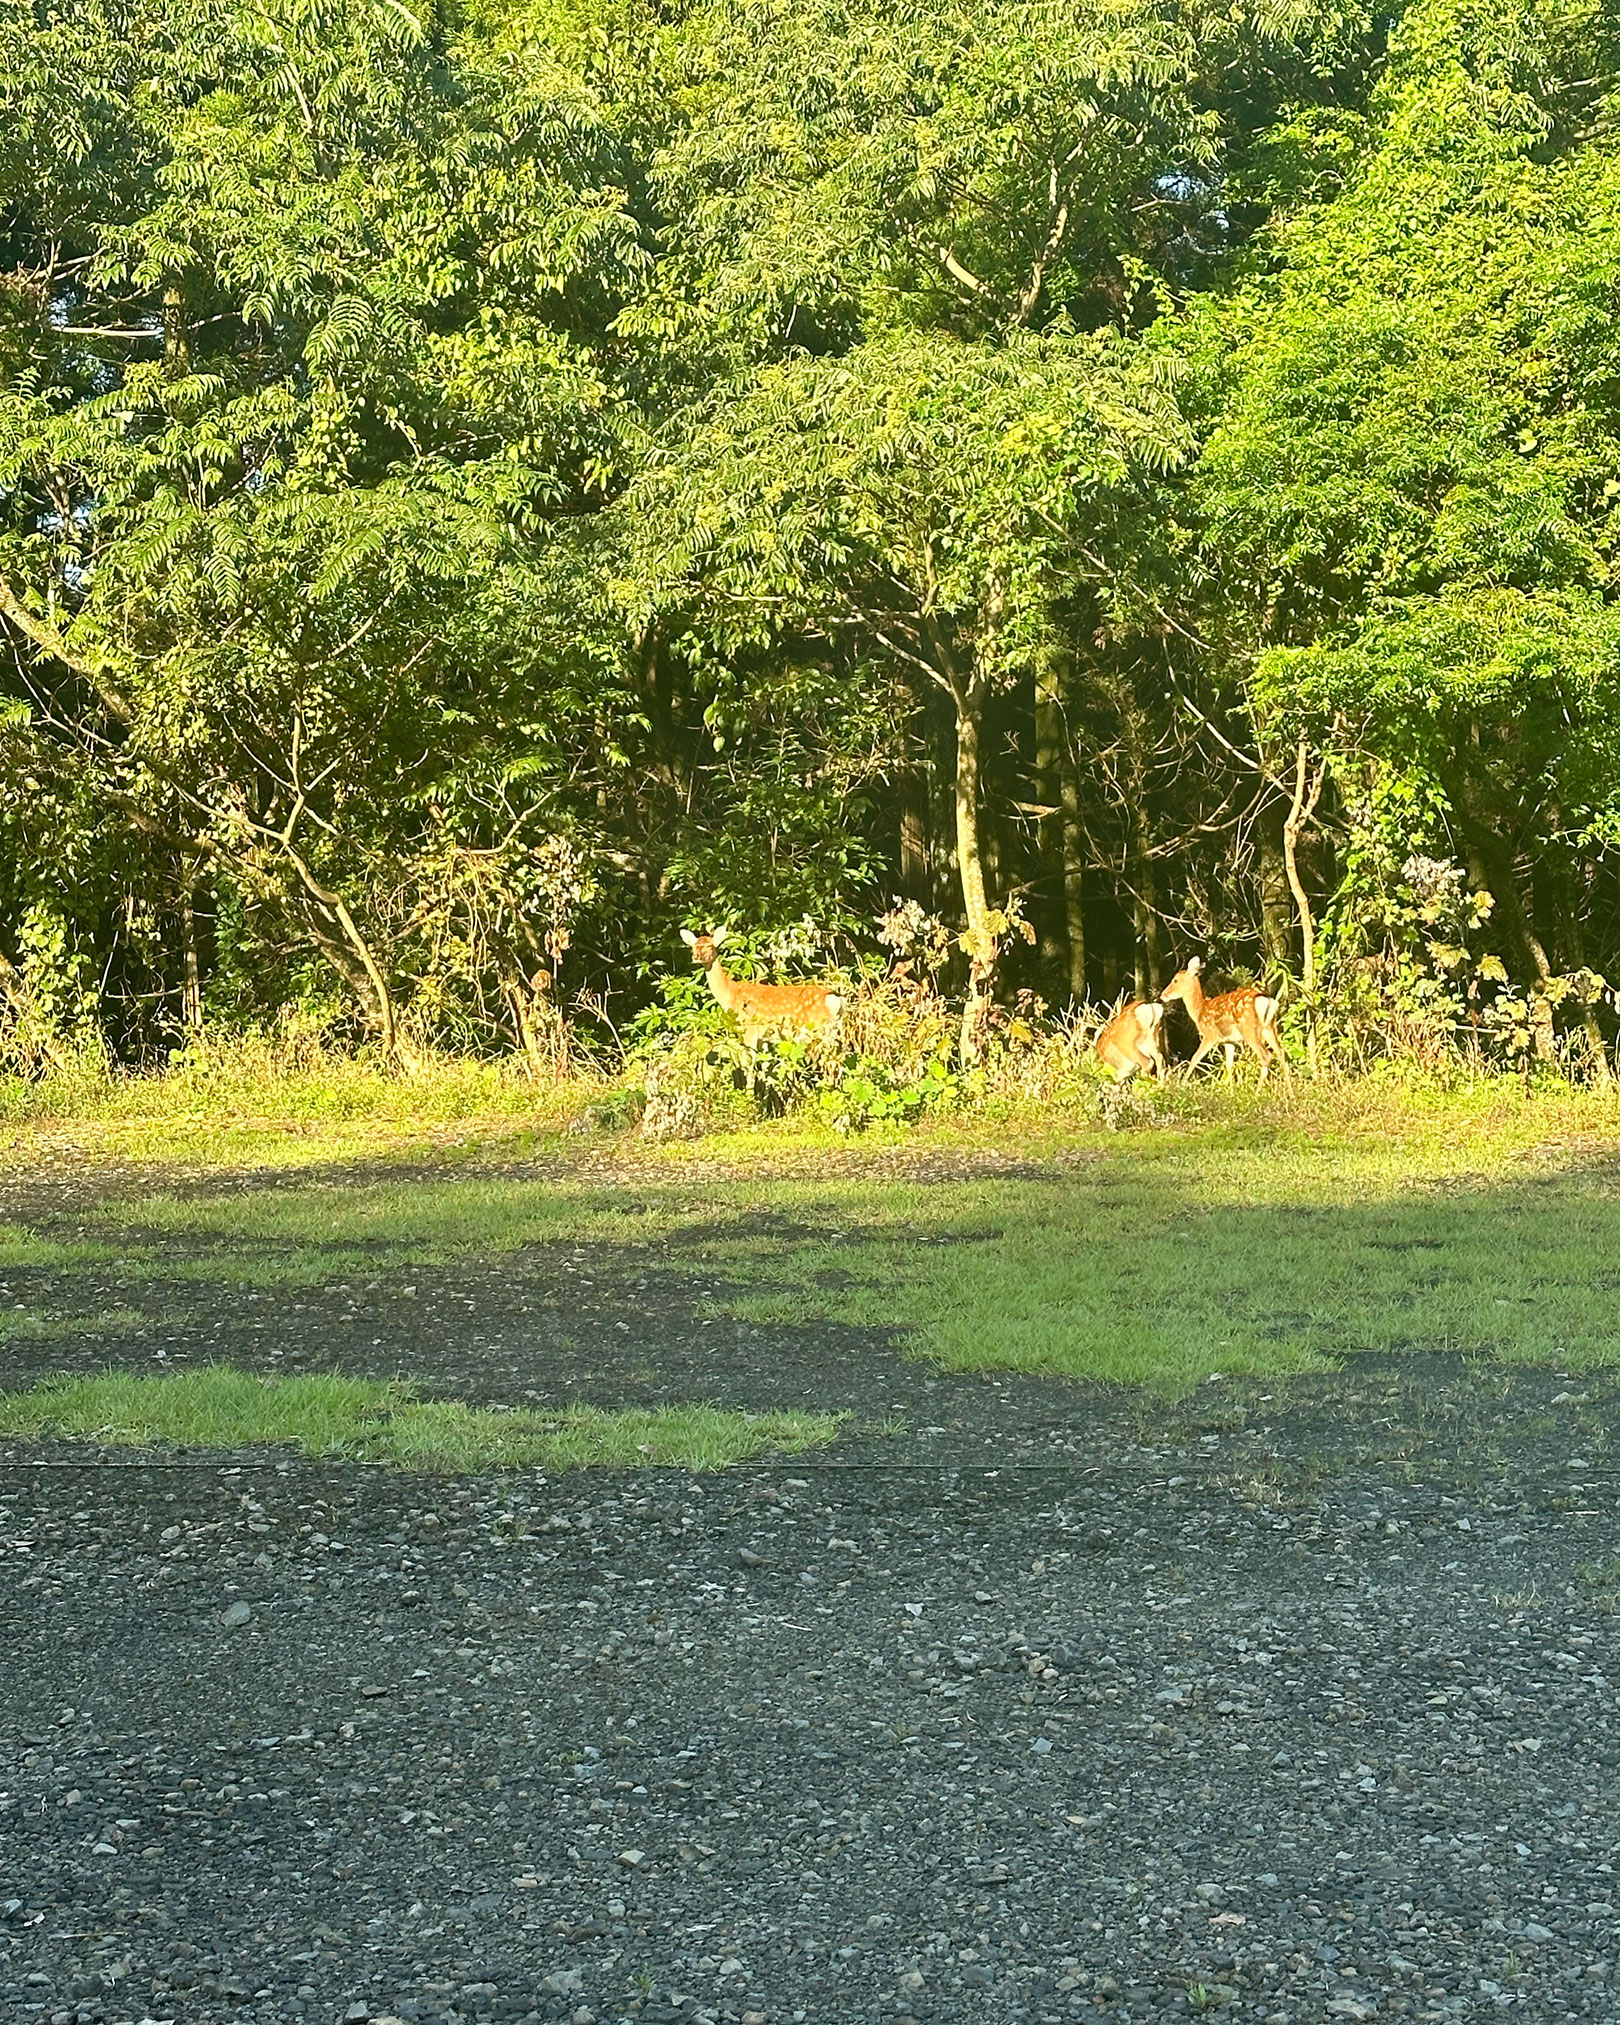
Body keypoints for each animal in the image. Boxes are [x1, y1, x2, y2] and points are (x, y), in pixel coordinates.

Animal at [676, 927, 846, 1053]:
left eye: (710, 945)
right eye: (693, 947)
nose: (696, 956)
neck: (730, 995)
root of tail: (835, 998)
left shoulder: (749, 1029)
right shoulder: (763, 1038)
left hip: (816, 1027)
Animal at [1158, 955, 1287, 1085]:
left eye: (1175, 980)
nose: (1162, 995)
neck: (1200, 1011)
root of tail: (1266, 999)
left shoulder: (1210, 1035)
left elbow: (1194, 1058)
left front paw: (1182, 1083)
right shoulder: (1228, 1041)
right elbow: (1229, 1065)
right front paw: (1230, 1088)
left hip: (1248, 1028)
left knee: (1266, 1056)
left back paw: (1258, 1089)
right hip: (1270, 1027)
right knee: (1281, 1054)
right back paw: (1289, 1089)